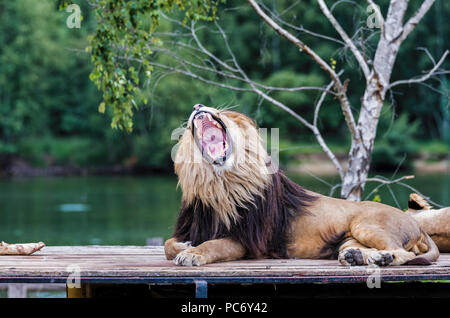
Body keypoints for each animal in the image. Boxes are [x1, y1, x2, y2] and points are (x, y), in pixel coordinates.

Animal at [164, 104, 436, 266]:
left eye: (222, 113)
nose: (198, 106)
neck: (219, 183)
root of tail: (415, 223)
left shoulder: (248, 240)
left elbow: (214, 244)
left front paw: (192, 253)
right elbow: (168, 245)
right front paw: (184, 245)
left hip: (366, 225)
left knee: (406, 253)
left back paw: (382, 259)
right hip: (349, 238)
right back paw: (358, 256)